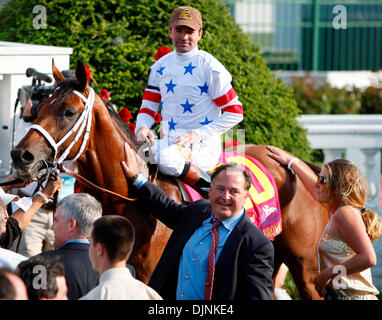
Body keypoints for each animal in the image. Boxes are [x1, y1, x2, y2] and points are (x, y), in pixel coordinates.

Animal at [11, 60, 328, 300]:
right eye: (38, 110)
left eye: (68, 111)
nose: (20, 154)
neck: (127, 199)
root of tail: (296, 163)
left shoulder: (151, 279)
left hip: (307, 269)